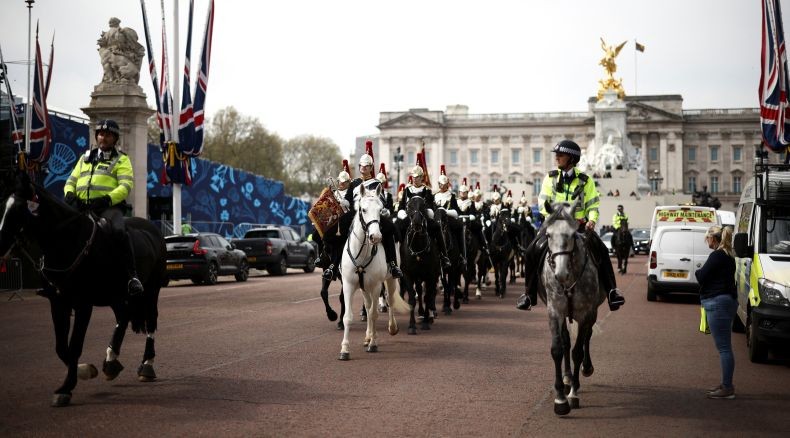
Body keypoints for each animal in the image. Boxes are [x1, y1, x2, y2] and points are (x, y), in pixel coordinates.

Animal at [0, 173, 167, 406]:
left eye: (19, 208)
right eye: (3, 206)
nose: (0, 246)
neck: (69, 242)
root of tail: (151, 228)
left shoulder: (83, 305)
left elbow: (75, 345)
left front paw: (66, 388)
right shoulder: (58, 302)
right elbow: (62, 347)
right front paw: (84, 371)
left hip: (151, 290)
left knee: (150, 321)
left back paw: (146, 366)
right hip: (116, 295)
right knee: (123, 318)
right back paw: (111, 361)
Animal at [338, 182, 412, 360]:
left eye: (380, 209)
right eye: (363, 209)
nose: (376, 237)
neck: (362, 253)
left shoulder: (377, 285)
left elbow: (374, 314)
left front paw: (373, 343)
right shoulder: (349, 285)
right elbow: (348, 317)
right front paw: (345, 349)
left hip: (390, 280)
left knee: (389, 301)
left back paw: (389, 329)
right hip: (364, 288)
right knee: (368, 305)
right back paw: (368, 336)